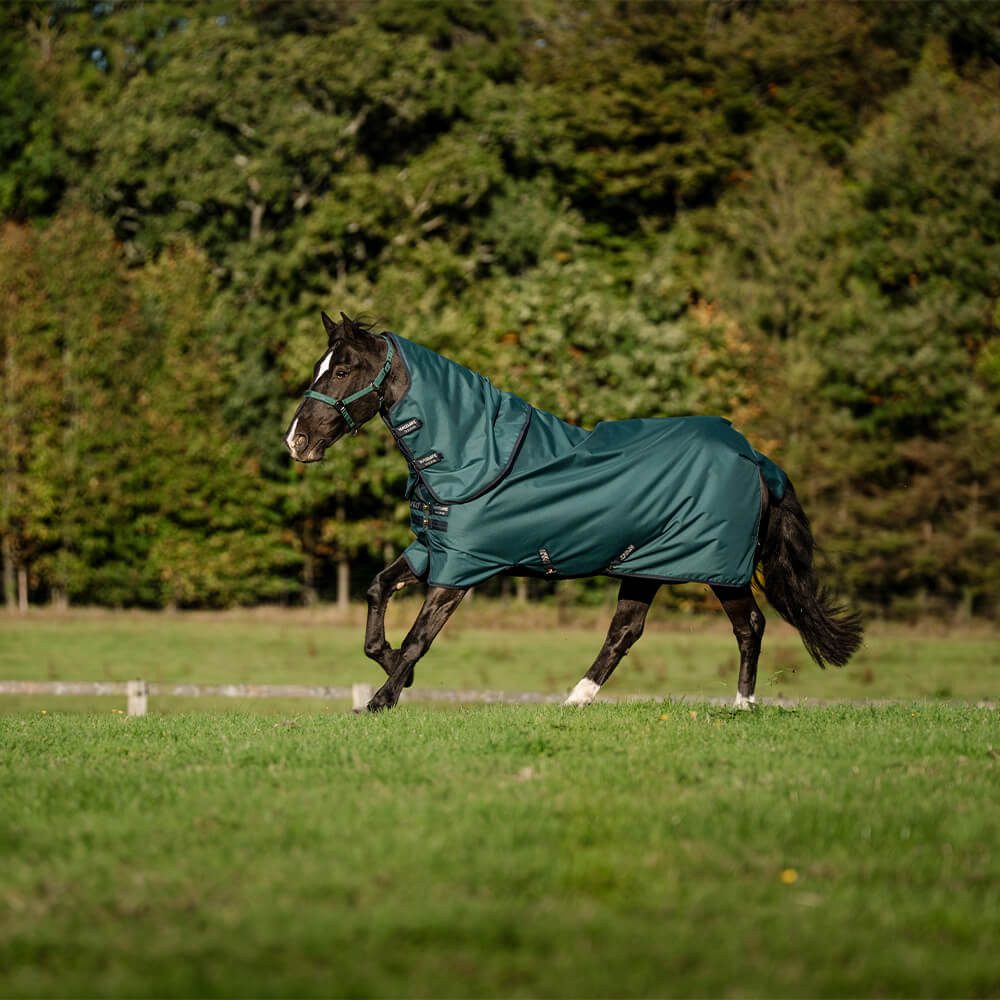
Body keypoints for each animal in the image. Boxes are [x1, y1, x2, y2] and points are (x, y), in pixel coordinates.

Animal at [285, 312, 863, 713]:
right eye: (320, 367)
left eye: (341, 369)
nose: (297, 441)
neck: (472, 454)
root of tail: (755, 457)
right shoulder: (433, 550)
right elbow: (376, 594)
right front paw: (390, 672)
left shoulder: (461, 569)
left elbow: (417, 639)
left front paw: (381, 699)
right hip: (646, 565)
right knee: (625, 631)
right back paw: (576, 699)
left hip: (720, 569)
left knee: (751, 626)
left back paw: (743, 705)